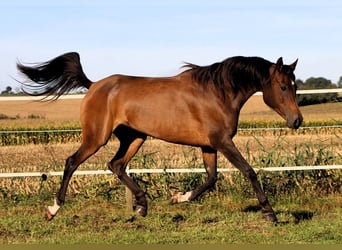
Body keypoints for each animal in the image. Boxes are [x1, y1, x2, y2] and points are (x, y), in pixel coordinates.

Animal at [17, 51, 304, 222]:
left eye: (295, 86)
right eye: (282, 87)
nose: (297, 121)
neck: (218, 93)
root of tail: (94, 85)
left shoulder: (209, 145)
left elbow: (211, 178)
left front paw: (178, 198)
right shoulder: (222, 142)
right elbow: (249, 171)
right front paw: (270, 213)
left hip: (134, 138)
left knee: (116, 165)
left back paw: (142, 205)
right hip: (96, 137)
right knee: (72, 162)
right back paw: (53, 209)